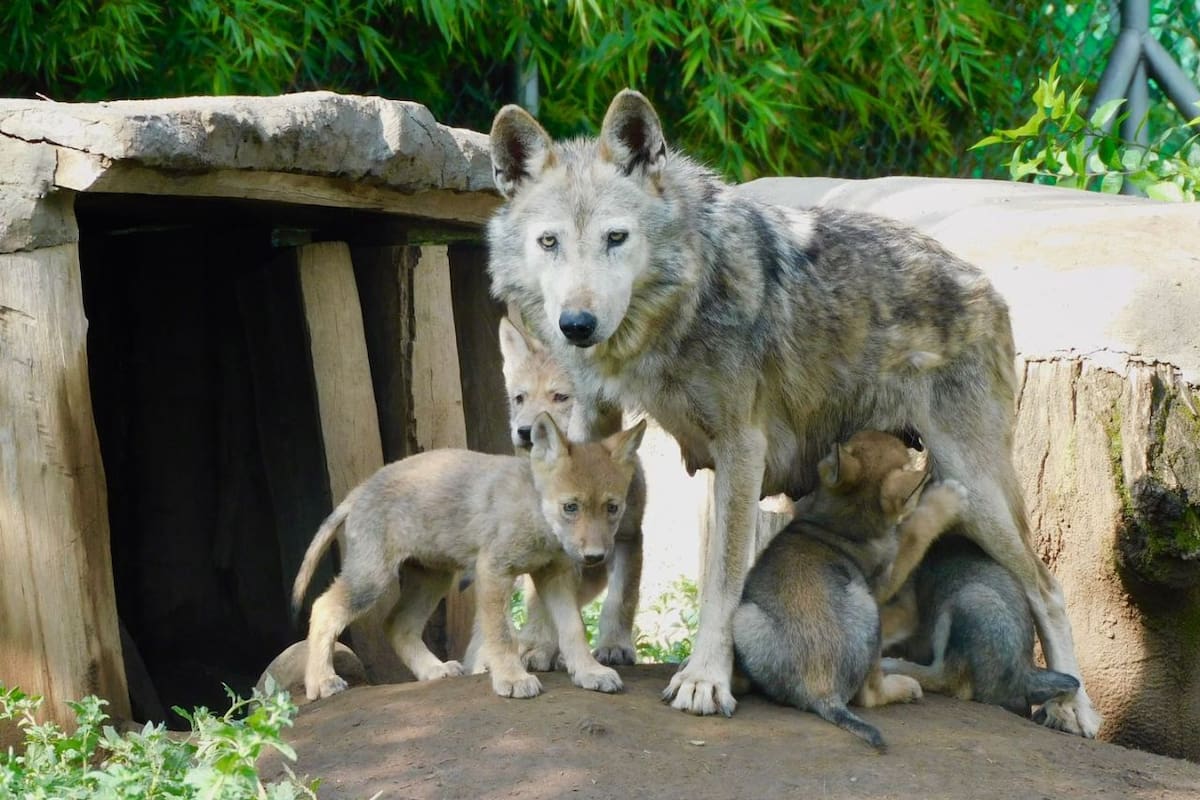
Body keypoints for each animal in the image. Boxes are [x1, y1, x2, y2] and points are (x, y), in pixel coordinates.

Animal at [292, 412, 646, 701]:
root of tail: (359, 490)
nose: (595, 556)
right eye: (570, 507)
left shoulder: (554, 576)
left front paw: (589, 672)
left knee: (396, 625)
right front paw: (512, 678)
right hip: (372, 580)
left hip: (432, 579)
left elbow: (573, 629)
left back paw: (433, 671)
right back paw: (321, 681)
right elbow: (502, 635)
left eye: (612, 508)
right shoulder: (494, 571)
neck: (534, 513)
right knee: (323, 608)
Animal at [497, 316, 646, 667]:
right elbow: (546, 610)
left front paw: (614, 646)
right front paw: (538, 649)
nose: (525, 431)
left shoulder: (628, 538)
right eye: (519, 398)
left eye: (561, 397)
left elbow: (620, 601)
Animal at [734, 431, 964, 750]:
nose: (910, 439)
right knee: (870, 695)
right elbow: (915, 532)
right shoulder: (886, 579)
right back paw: (905, 687)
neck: (840, 523)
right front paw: (947, 499)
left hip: (744, 618)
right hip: (869, 609)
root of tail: (821, 690)